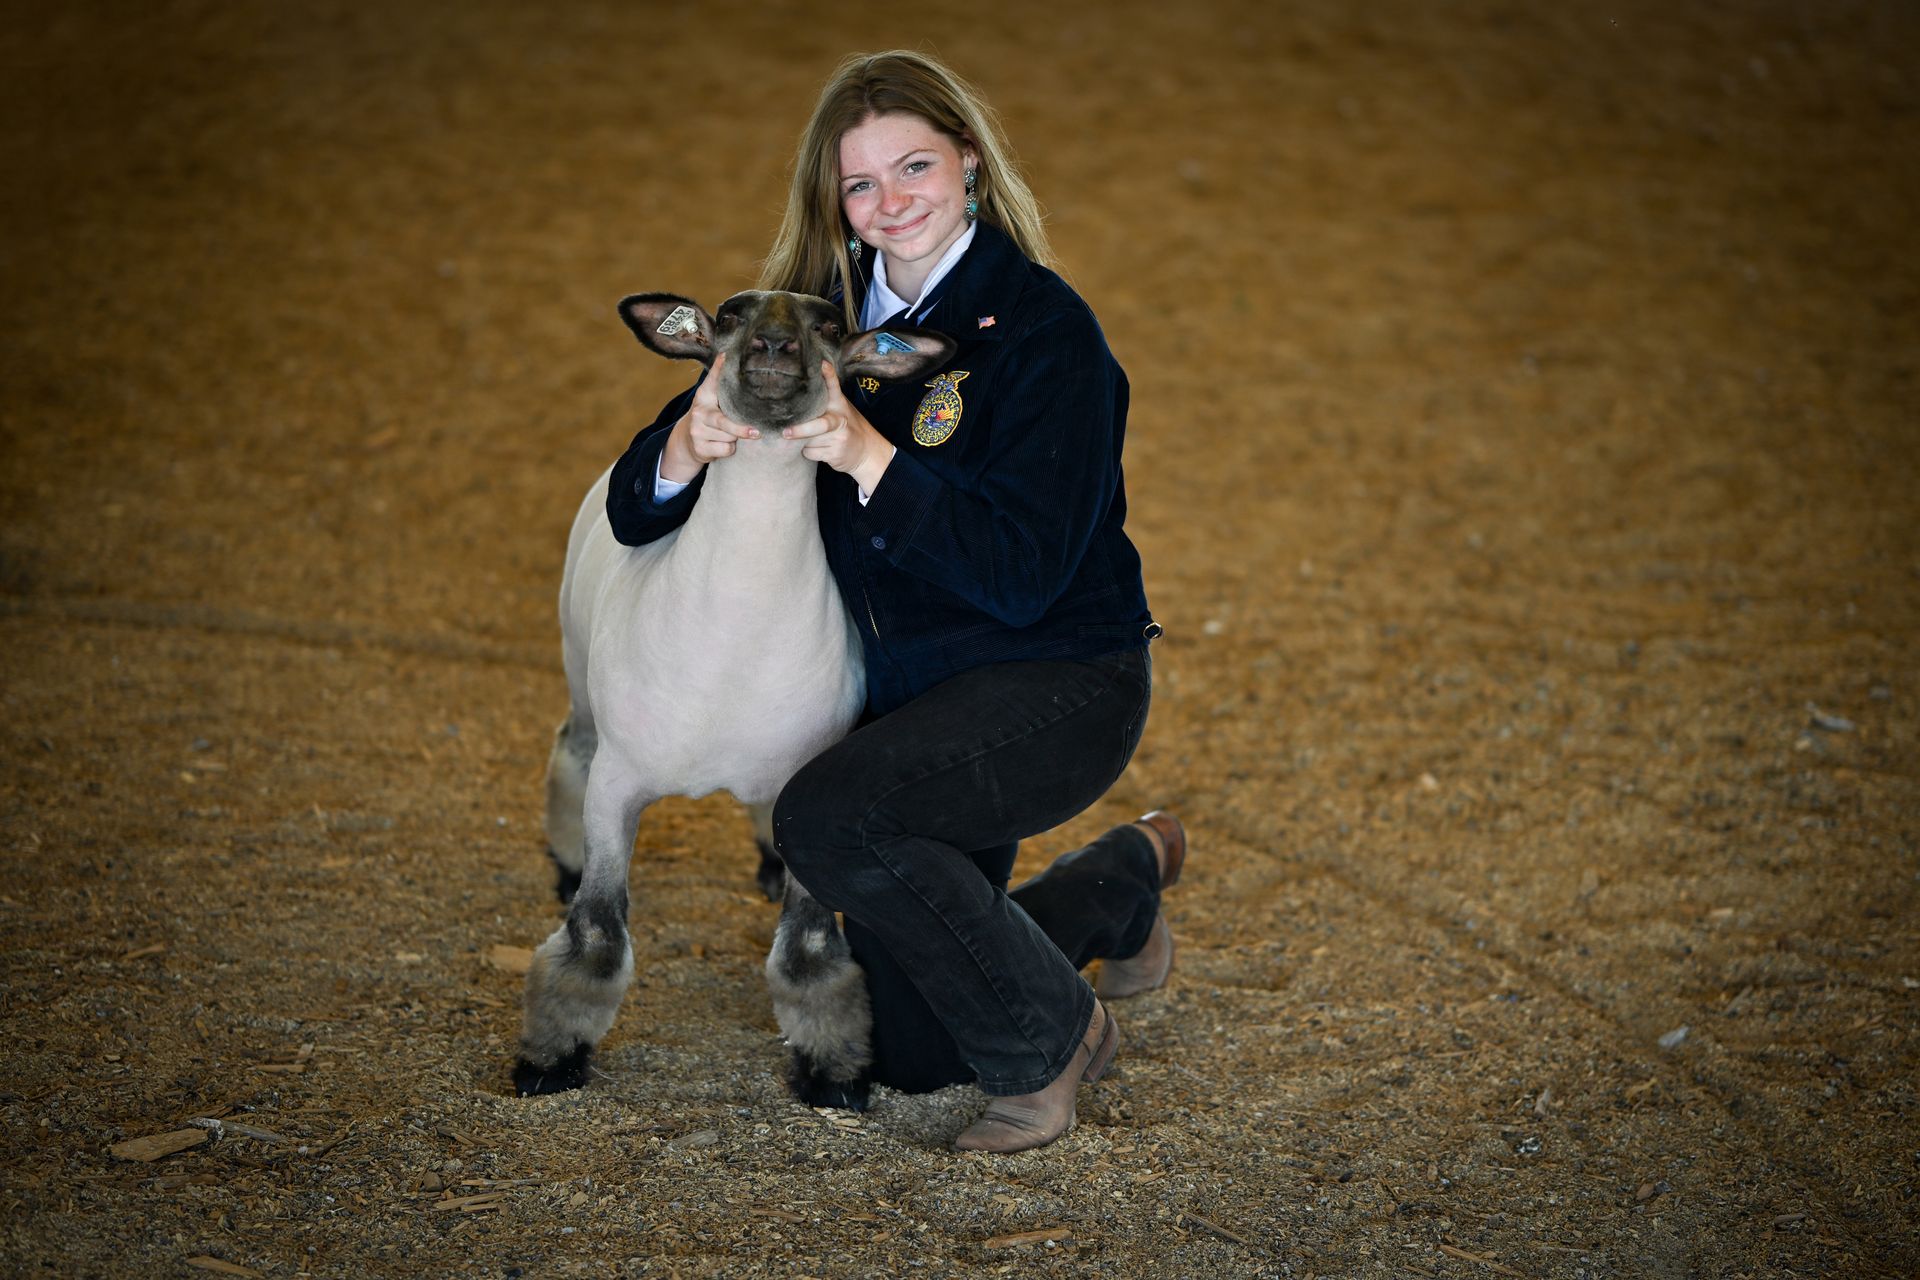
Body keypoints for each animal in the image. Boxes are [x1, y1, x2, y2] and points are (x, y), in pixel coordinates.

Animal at [514, 289, 954, 1107]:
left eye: (831, 326)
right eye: (728, 314)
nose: (775, 347)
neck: (732, 640)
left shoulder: (805, 779)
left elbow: (808, 947)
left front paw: (832, 1071)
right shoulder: (618, 784)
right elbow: (597, 934)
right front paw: (550, 1061)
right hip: (579, 675)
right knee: (568, 749)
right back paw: (560, 866)